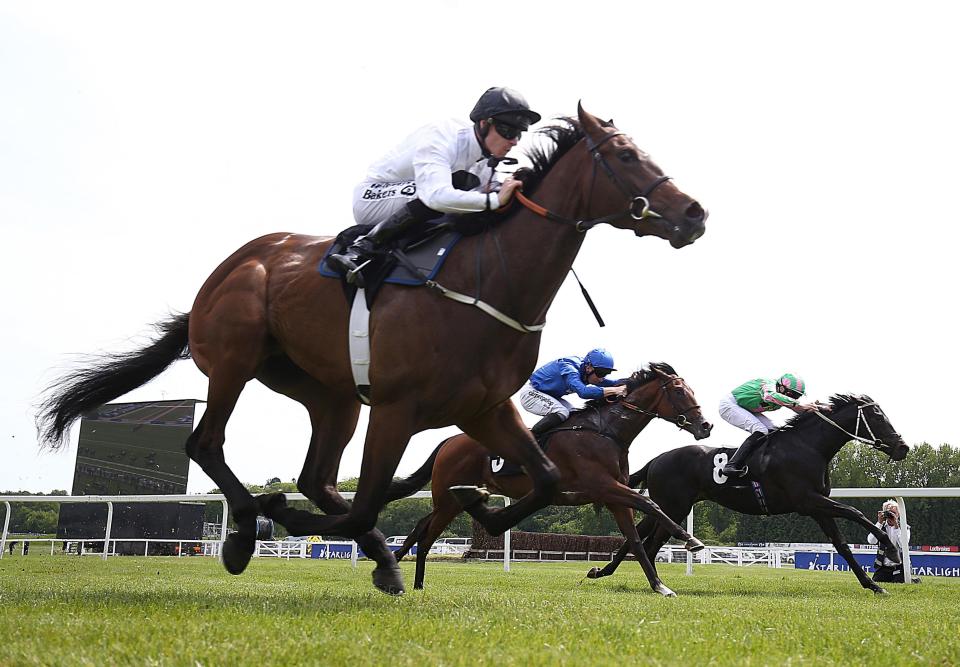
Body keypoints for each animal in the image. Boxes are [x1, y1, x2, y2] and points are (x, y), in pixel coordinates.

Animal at [384, 362, 712, 596]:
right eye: (679, 391)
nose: (705, 425)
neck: (605, 431)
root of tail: (449, 441)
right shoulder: (604, 486)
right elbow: (652, 506)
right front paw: (691, 541)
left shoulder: (613, 495)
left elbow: (634, 539)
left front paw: (659, 585)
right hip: (447, 500)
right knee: (427, 537)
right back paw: (414, 582)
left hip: (446, 500)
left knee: (421, 527)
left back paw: (406, 572)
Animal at [588, 392, 912, 596]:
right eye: (878, 416)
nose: (903, 447)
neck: (808, 447)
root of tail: (657, 459)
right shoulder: (808, 501)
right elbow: (855, 513)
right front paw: (890, 548)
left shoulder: (817, 507)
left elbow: (842, 545)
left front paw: (873, 585)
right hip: (674, 506)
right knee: (649, 542)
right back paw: (650, 582)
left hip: (668, 506)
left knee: (640, 536)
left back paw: (605, 572)